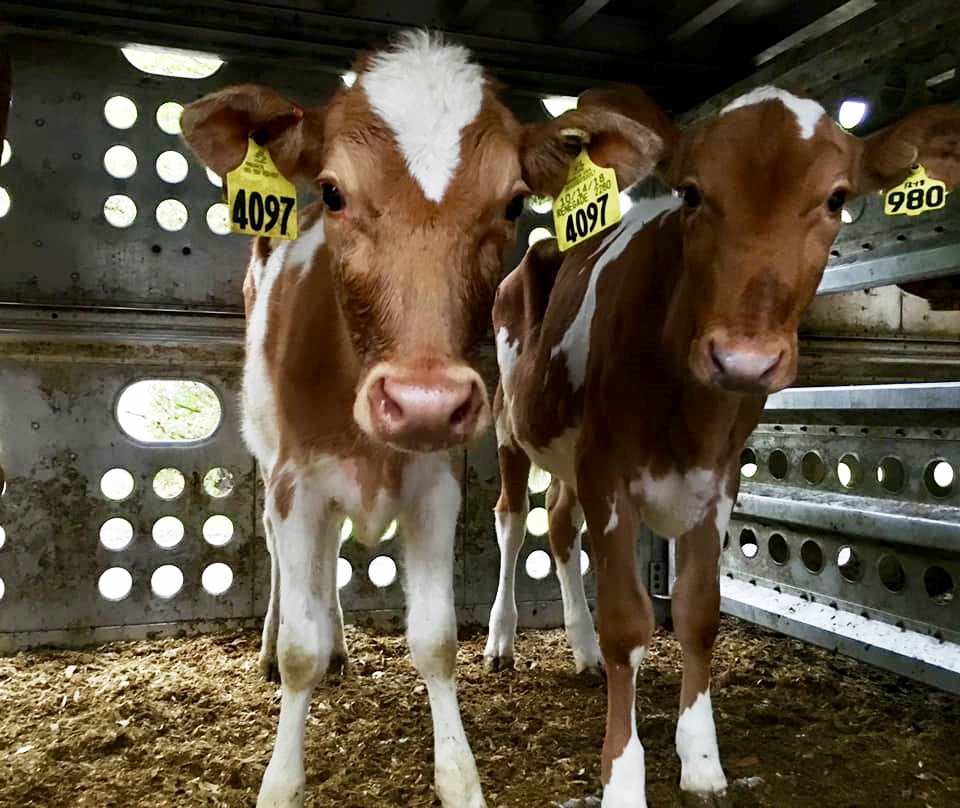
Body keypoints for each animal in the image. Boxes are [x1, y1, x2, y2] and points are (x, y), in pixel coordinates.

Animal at [180, 30, 665, 808]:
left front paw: (459, 778)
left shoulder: (436, 484)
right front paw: (281, 781)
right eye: (332, 191)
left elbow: (435, 640)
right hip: (270, 460)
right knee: (286, 568)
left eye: (513, 204)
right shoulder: (296, 483)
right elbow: (298, 649)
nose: (425, 401)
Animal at [487, 84, 960, 806]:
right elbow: (628, 623)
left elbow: (698, 614)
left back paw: (583, 649)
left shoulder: (716, 482)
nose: (744, 358)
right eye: (690, 193)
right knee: (512, 521)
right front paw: (623, 776)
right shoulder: (608, 475)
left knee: (561, 526)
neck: (690, 413)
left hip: (566, 452)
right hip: (511, 424)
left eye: (837, 198)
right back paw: (501, 640)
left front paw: (703, 760)